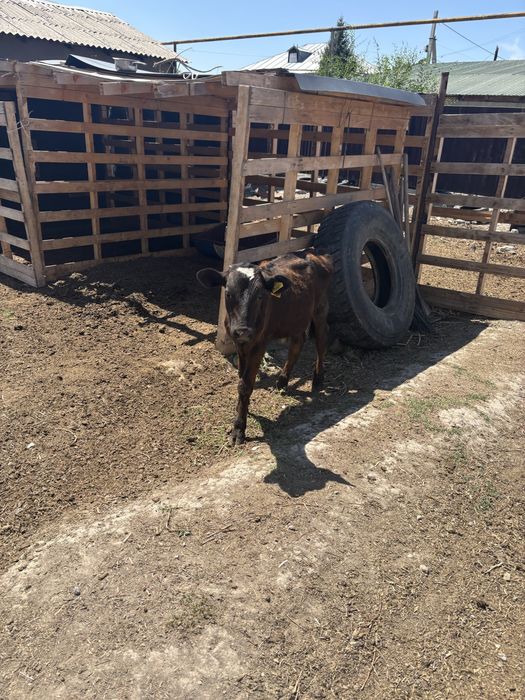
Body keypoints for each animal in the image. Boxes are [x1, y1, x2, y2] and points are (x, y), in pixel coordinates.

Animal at [197, 249, 333, 445]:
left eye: (260, 296)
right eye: (228, 293)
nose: (243, 330)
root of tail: (314, 253)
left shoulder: (259, 344)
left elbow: (245, 384)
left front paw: (239, 428)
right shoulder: (238, 343)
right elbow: (241, 378)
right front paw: (242, 408)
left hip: (321, 308)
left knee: (321, 341)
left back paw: (318, 379)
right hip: (296, 316)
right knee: (298, 342)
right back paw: (282, 381)